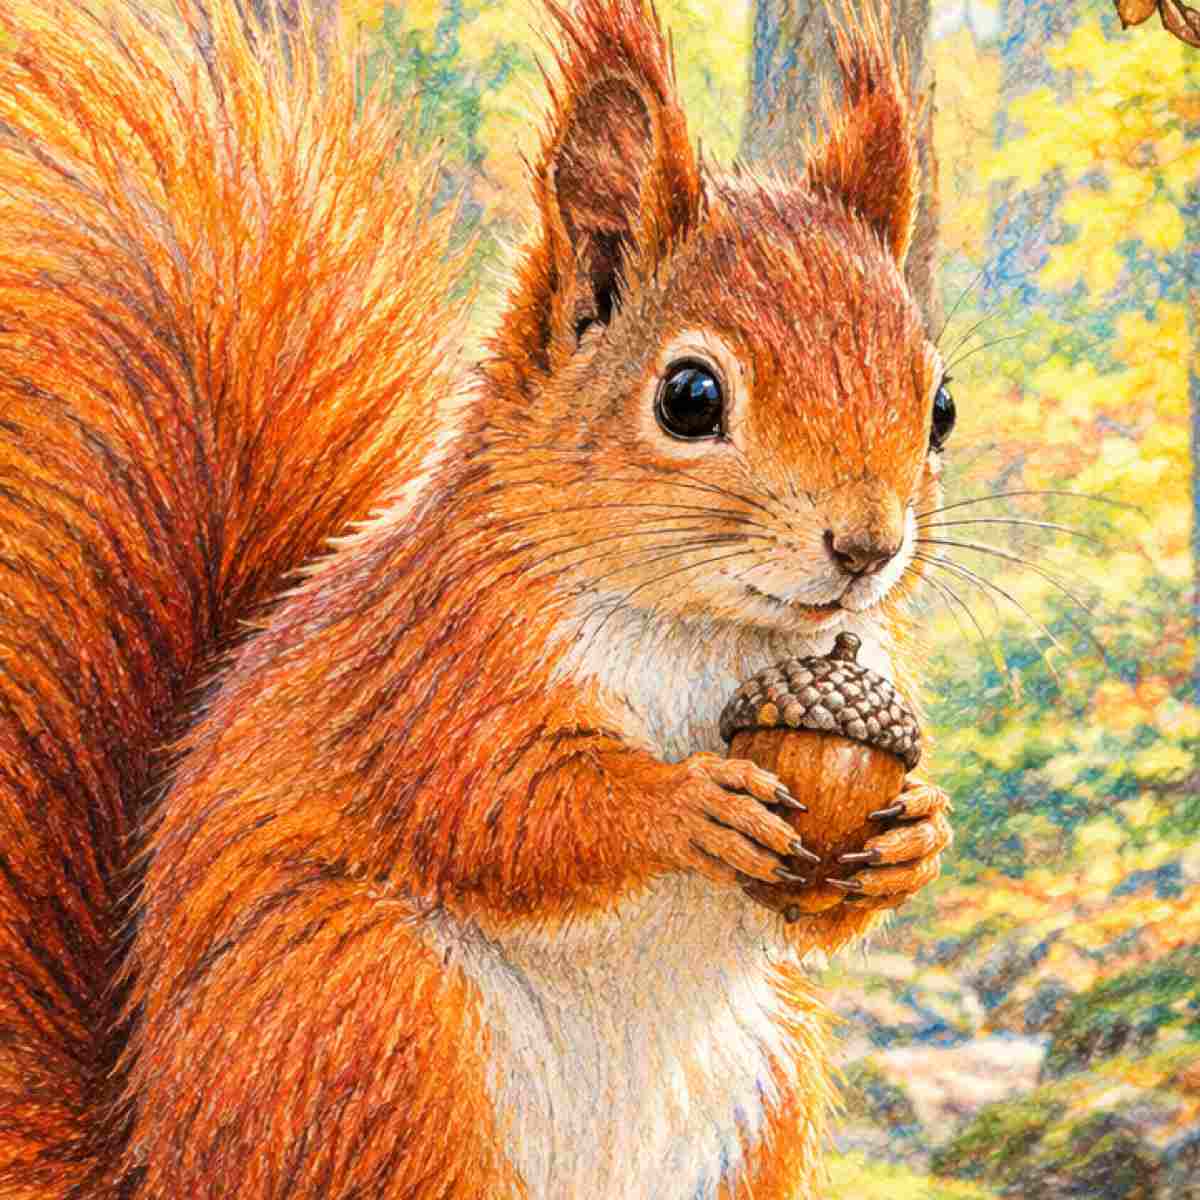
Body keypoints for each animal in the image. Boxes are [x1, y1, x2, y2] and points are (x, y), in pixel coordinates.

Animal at [0, 0, 955, 1196]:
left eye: (941, 406)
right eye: (690, 398)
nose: (868, 547)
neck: (710, 634)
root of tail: (152, 1157)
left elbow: (823, 915)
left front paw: (918, 835)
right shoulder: (438, 662)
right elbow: (499, 807)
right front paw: (683, 804)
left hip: (768, 1089)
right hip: (379, 1020)